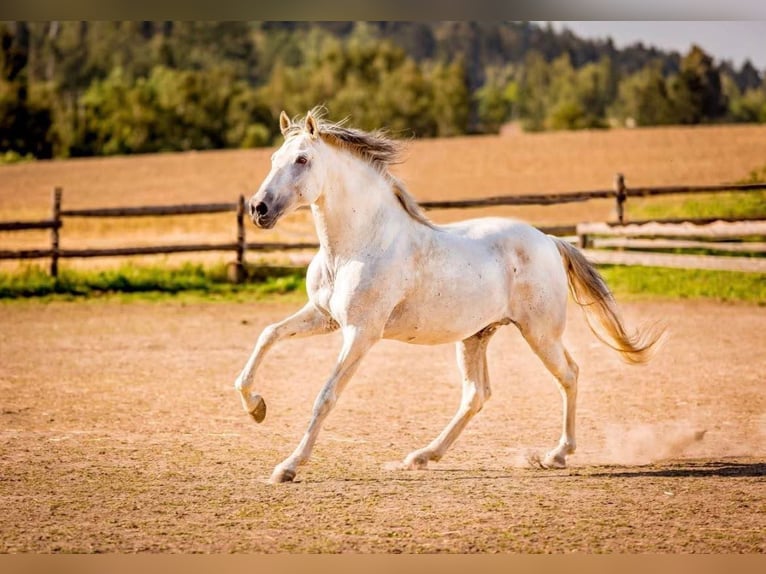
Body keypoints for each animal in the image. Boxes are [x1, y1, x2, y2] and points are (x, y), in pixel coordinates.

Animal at [234, 107, 663, 483]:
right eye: (274, 158)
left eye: (302, 159)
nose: (258, 209)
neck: (358, 245)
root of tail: (548, 240)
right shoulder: (323, 317)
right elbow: (267, 335)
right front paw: (256, 407)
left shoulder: (361, 333)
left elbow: (325, 395)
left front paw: (287, 467)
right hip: (476, 336)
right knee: (477, 394)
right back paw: (422, 456)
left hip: (540, 332)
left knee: (568, 375)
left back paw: (557, 454)